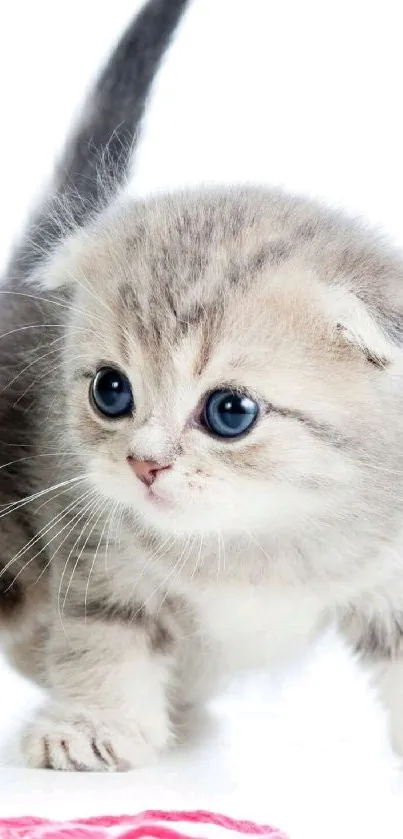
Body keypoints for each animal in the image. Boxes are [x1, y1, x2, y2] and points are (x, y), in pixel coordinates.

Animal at [2, 1, 403, 776]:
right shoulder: (94, 540)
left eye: (230, 411)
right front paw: (94, 723)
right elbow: (106, 632)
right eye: (111, 391)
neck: (254, 539)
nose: (144, 464)